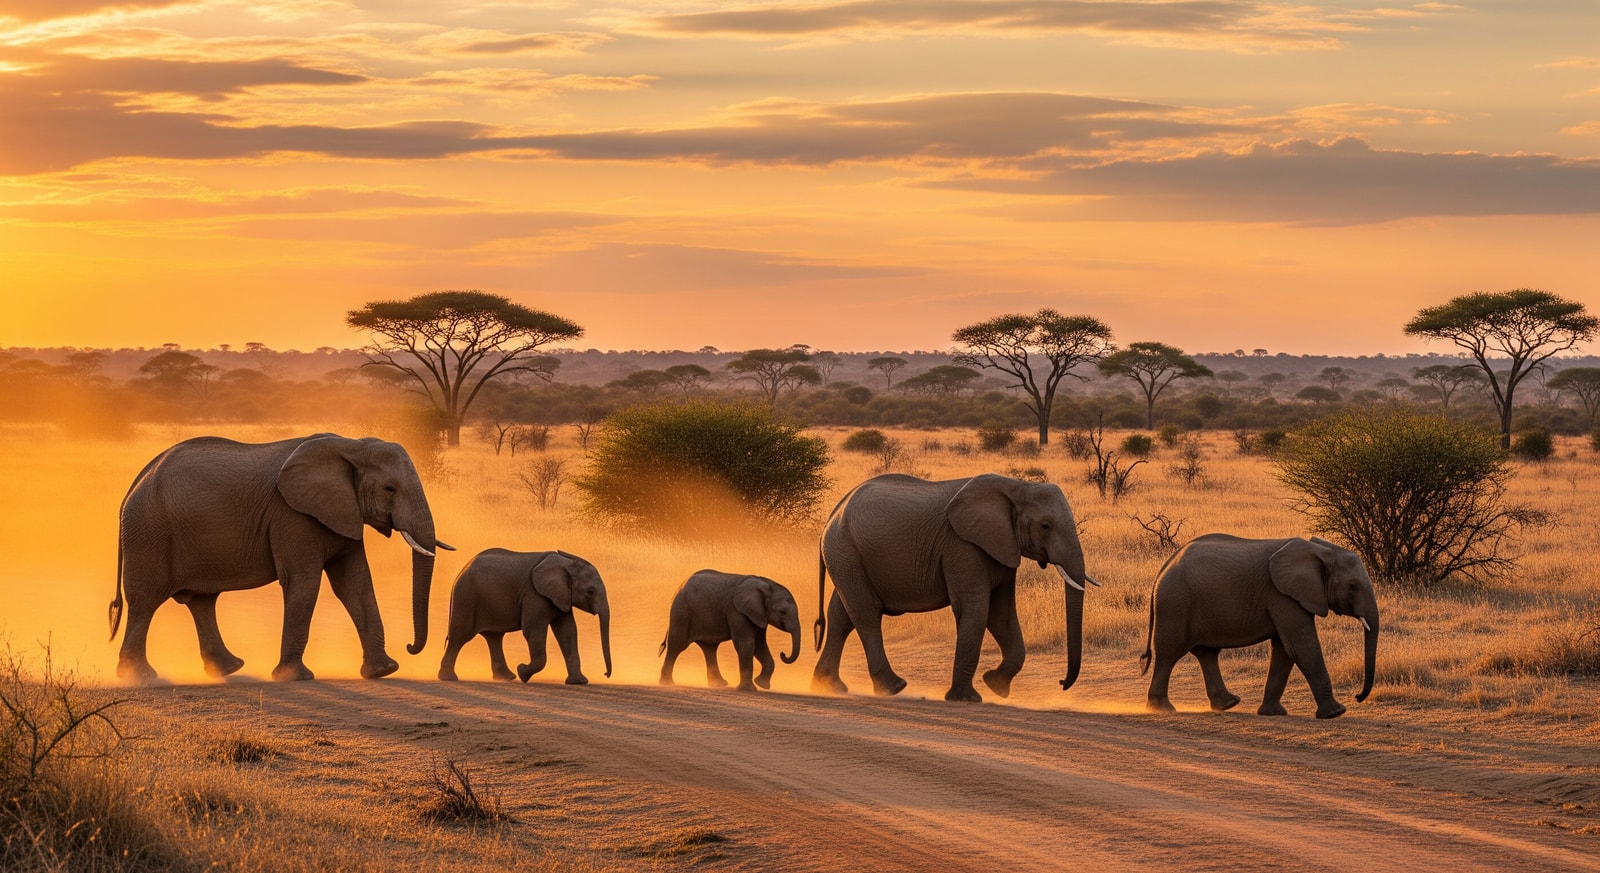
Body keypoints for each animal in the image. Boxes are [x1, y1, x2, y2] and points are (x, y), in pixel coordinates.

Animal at [109, 433, 451, 683]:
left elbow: (355, 584)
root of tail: (134, 485)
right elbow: (303, 582)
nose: (410, 647)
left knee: (201, 601)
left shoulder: (343, 512)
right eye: (390, 489)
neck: (352, 445)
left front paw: (383, 671)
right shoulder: (292, 516)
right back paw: (139, 677)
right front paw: (295, 677)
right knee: (145, 601)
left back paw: (229, 668)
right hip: (148, 532)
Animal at [437, 549, 612, 684]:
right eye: (590, 591)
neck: (566, 564)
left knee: (494, 637)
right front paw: (522, 672)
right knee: (459, 637)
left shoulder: (561, 597)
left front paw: (579, 682)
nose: (605, 674)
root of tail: (463, 569)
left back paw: (507, 677)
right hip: (466, 597)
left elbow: (567, 632)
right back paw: (449, 678)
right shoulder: (534, 595)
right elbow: (533, 631)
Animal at [657, 570, 801, 691]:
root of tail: (679, 588)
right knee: (677, 646)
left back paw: (719, 684)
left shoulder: (758, 615)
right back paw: (667, 683)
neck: (766, 584)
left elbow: (760, 645)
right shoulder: (736, 612)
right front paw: (748, 690)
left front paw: (762, 685)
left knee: (709, 649)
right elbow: (746, 644)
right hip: (681, 613)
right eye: (782, 612)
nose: (783, 654)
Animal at [812, 473, 1094, 703]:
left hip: (848, 557)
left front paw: (995, 685)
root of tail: (831, 516)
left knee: (841, 615)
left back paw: (828, 686)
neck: (1017, 486)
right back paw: (893, 687)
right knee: (866, 613)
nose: (1062, 683)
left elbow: (1001, 615)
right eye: (1045, 526)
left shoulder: (1002, 547)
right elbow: (975, 610)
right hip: (846, 551)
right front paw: (967, 699)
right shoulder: (962, 546)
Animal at [1140, 534, 1379, 719]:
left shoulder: (1285, 597)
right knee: (1169, 653)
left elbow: (1285, 650)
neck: (1322, 551)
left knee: (1206, 653)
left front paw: (1272, 713)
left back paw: (1228, 703)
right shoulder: (1281, 595)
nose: (1358, 697)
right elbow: (1301, 646)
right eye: (1353, 586)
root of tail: (1164, 568)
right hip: (1175, 603)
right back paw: (1163, 709)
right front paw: (1335, 713)